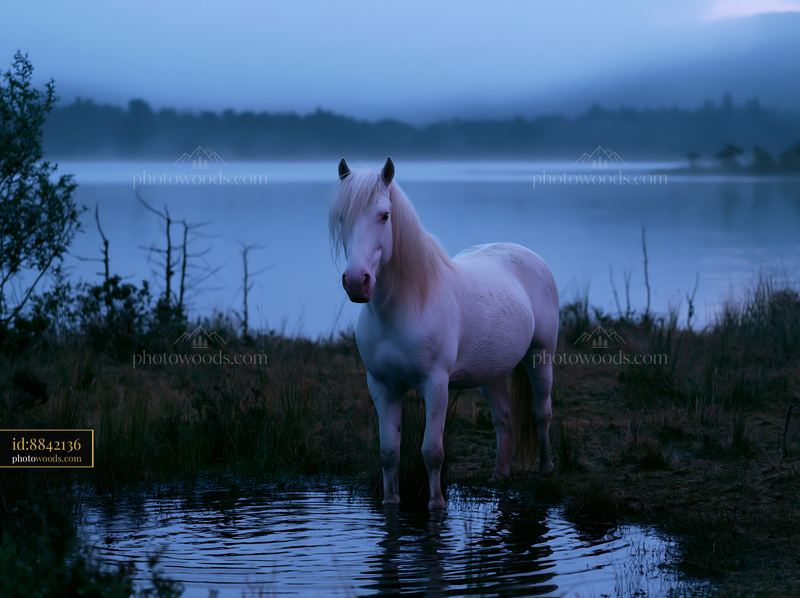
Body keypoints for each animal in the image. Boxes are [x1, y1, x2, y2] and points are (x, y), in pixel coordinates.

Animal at [330, 157, 559, 509]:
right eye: (343, 217)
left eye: (385, 215)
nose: (357, 282)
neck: (404, 307)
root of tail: (525, 253)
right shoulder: (383, 386)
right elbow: (388, 453)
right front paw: (391, 501)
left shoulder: (435, 384)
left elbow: (432, 451)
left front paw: (437, 504)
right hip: (491, 372)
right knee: (503, 418)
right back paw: (500, 474)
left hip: (540, 355)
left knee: (541, 412)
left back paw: (546, 468)